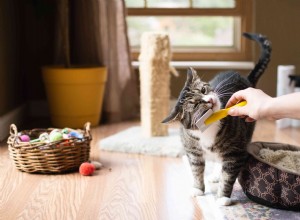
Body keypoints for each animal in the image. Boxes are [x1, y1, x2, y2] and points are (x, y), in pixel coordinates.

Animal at [162, 33, 272, 206]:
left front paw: (223, 198)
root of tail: (246, 79)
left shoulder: (235, 152)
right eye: (195, 105)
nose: (209, 100)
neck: (208, 127)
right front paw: (198, 189)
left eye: (203, 90)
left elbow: (228, 176)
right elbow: (196, 170)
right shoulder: (192, 151)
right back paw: (214, 175)